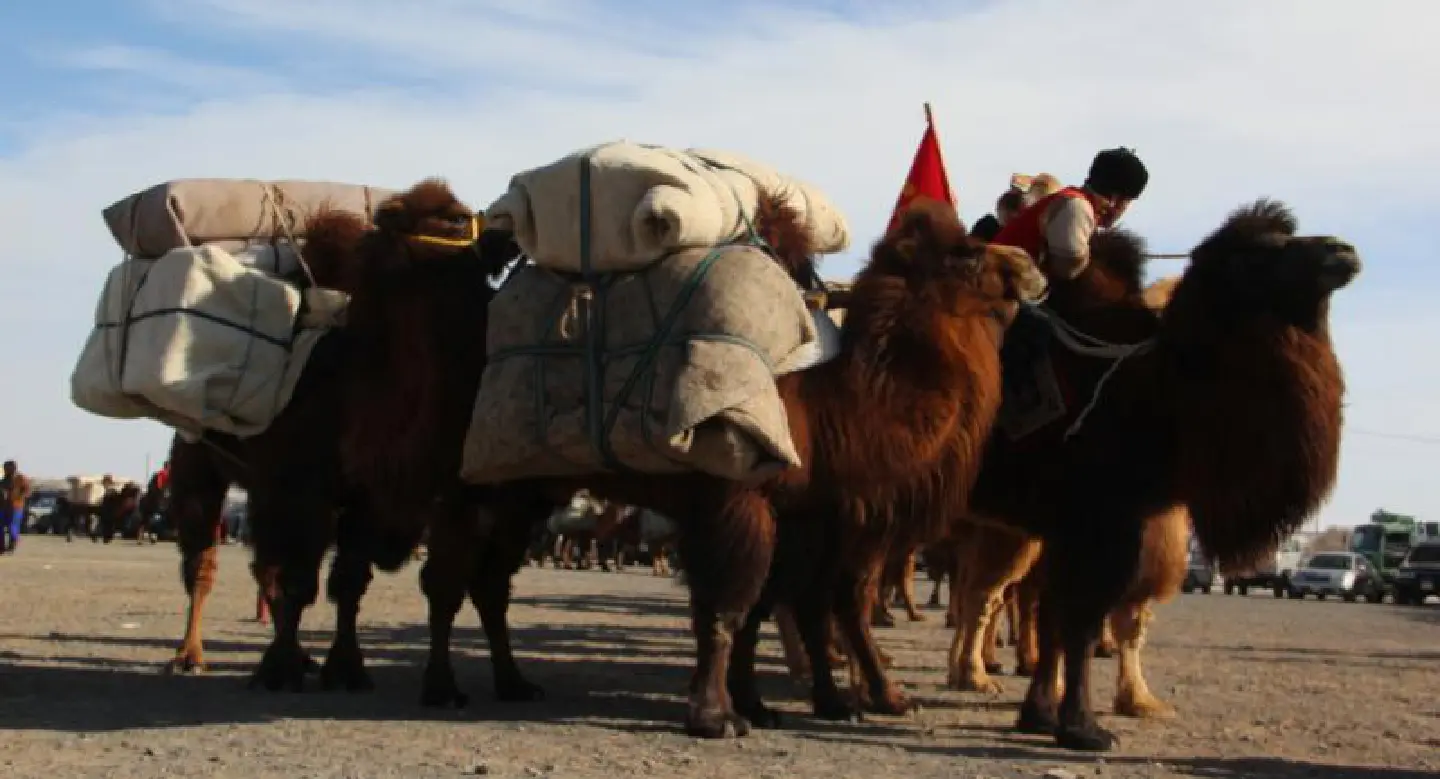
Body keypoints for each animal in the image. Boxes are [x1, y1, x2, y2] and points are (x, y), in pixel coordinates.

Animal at [335, 182, 1046, 738]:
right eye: (966, 253)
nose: (1031, 269)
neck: (842, 403)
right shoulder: (739, 497)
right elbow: (730, 606)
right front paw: (717, 716)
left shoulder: (801, 512)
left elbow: (780, 609)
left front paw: (786, 705)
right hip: (468, 490)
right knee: (447, 581)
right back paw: (441, 687)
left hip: (521, 494)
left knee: (490, 584)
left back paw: (513, 683)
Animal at [837, 200, 1356, 752]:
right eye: (1258, 254)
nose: (1342, 250)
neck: (1154, 388)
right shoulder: (1102, 521)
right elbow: (1081, 620)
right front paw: (1082, 726)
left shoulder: (1072, 528)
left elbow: (1058, 619)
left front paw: (1041, 714)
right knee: (860, 586)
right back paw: (879, 689)